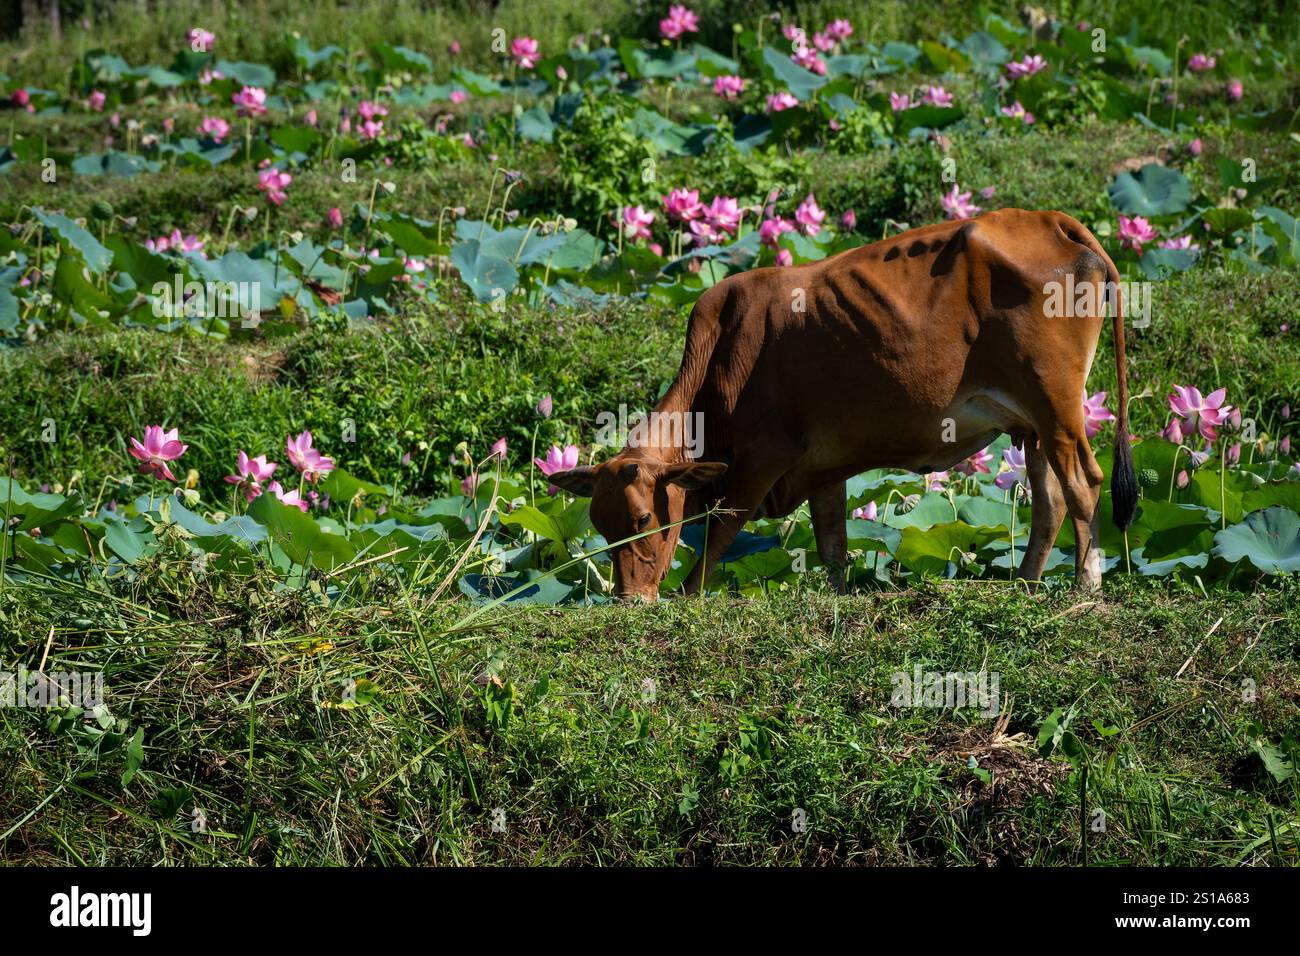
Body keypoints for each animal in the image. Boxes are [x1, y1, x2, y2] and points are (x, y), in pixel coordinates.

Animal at [553, 209, 1133, 598]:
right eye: (601, 526)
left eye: (644, 518)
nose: (628, 599)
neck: (719, 359)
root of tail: (1051, 220)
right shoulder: (823, 469)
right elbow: (832, 543)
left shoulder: (762, 461)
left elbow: (719, 537)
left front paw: (686, 595)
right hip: (1032, 425)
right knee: (1050, 502)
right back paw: (1028, 584)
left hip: (1057, 406)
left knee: (1084, 484)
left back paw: (1086, 583)